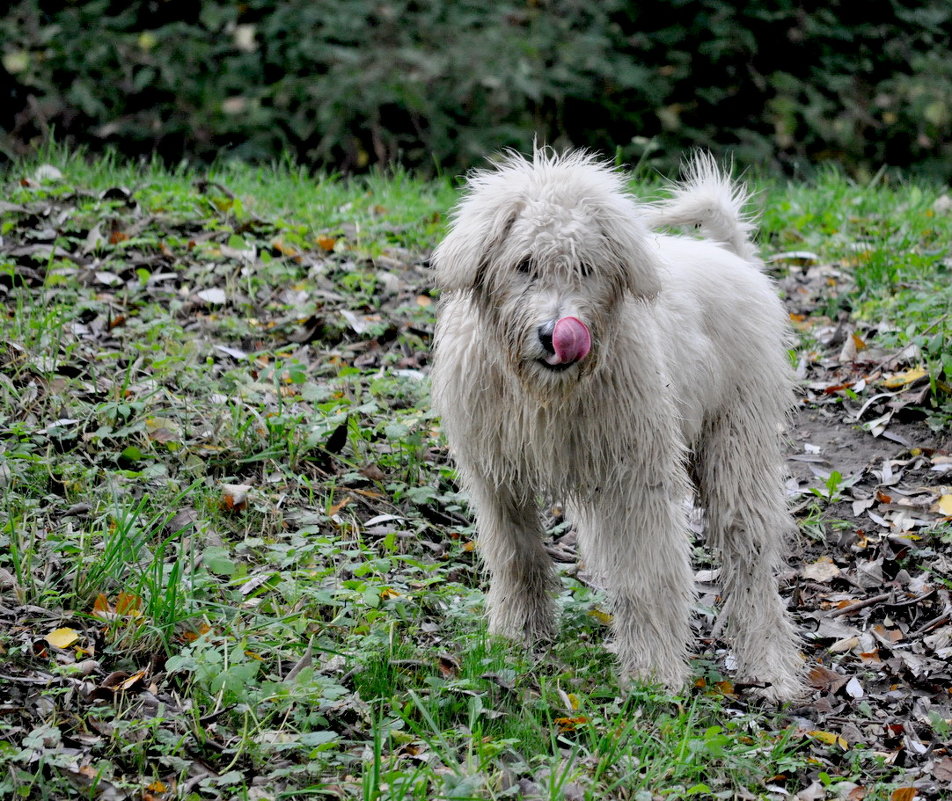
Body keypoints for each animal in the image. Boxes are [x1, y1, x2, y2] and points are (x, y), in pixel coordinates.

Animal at [432, 150, 804, 700]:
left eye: (586, 268)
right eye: (524, 265)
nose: (556, 334)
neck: (546, 393)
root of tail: (730, 257)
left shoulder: (632, 479)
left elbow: (645, 573)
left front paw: (652, 674)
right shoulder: (497, 473)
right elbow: (516, 556)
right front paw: (517, 637)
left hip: (738, 439)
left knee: (749, 553)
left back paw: (770, 665)